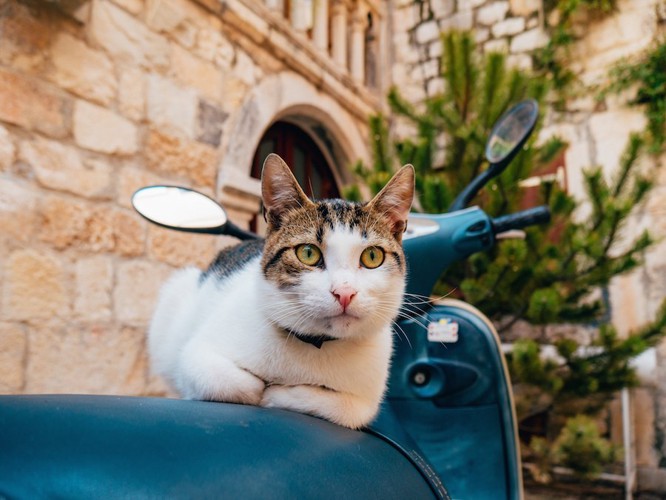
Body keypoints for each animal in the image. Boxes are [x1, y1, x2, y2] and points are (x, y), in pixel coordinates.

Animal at [148, 153, 412, 430]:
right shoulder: (196, 358)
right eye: (308, 253)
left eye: (372, 256)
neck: (314, 345)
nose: (344, 293)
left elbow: (343, 407)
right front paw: (263, 390)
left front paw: (280, 393)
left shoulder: (365, 402)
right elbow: (236, 383)